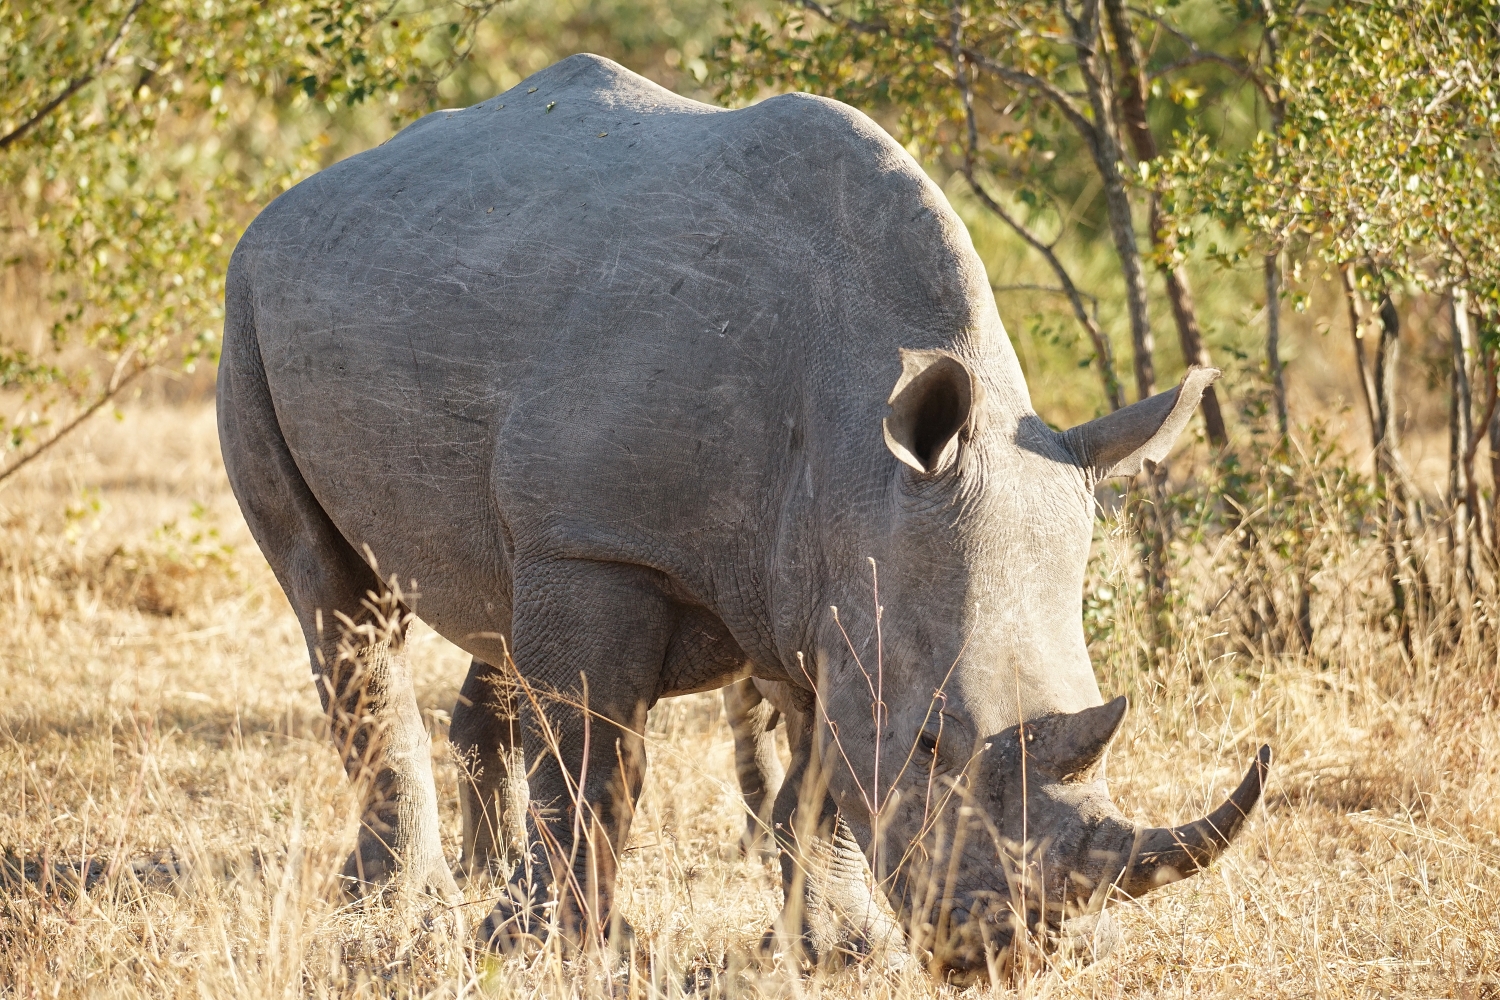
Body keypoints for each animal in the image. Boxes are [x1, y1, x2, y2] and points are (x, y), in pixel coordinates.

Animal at [219, 52, 1266, 977]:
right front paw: (548, 949)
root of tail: (297, 195)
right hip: (248, 303)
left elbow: (821, 783)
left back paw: (476, 881)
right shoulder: (602, 544)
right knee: (338, 599)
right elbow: (593, 758)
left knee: (489, 602)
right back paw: (405, 910)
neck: (857, 438)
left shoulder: (832, 573)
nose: (1015, 953)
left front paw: (844, 953)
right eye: (931, 744)